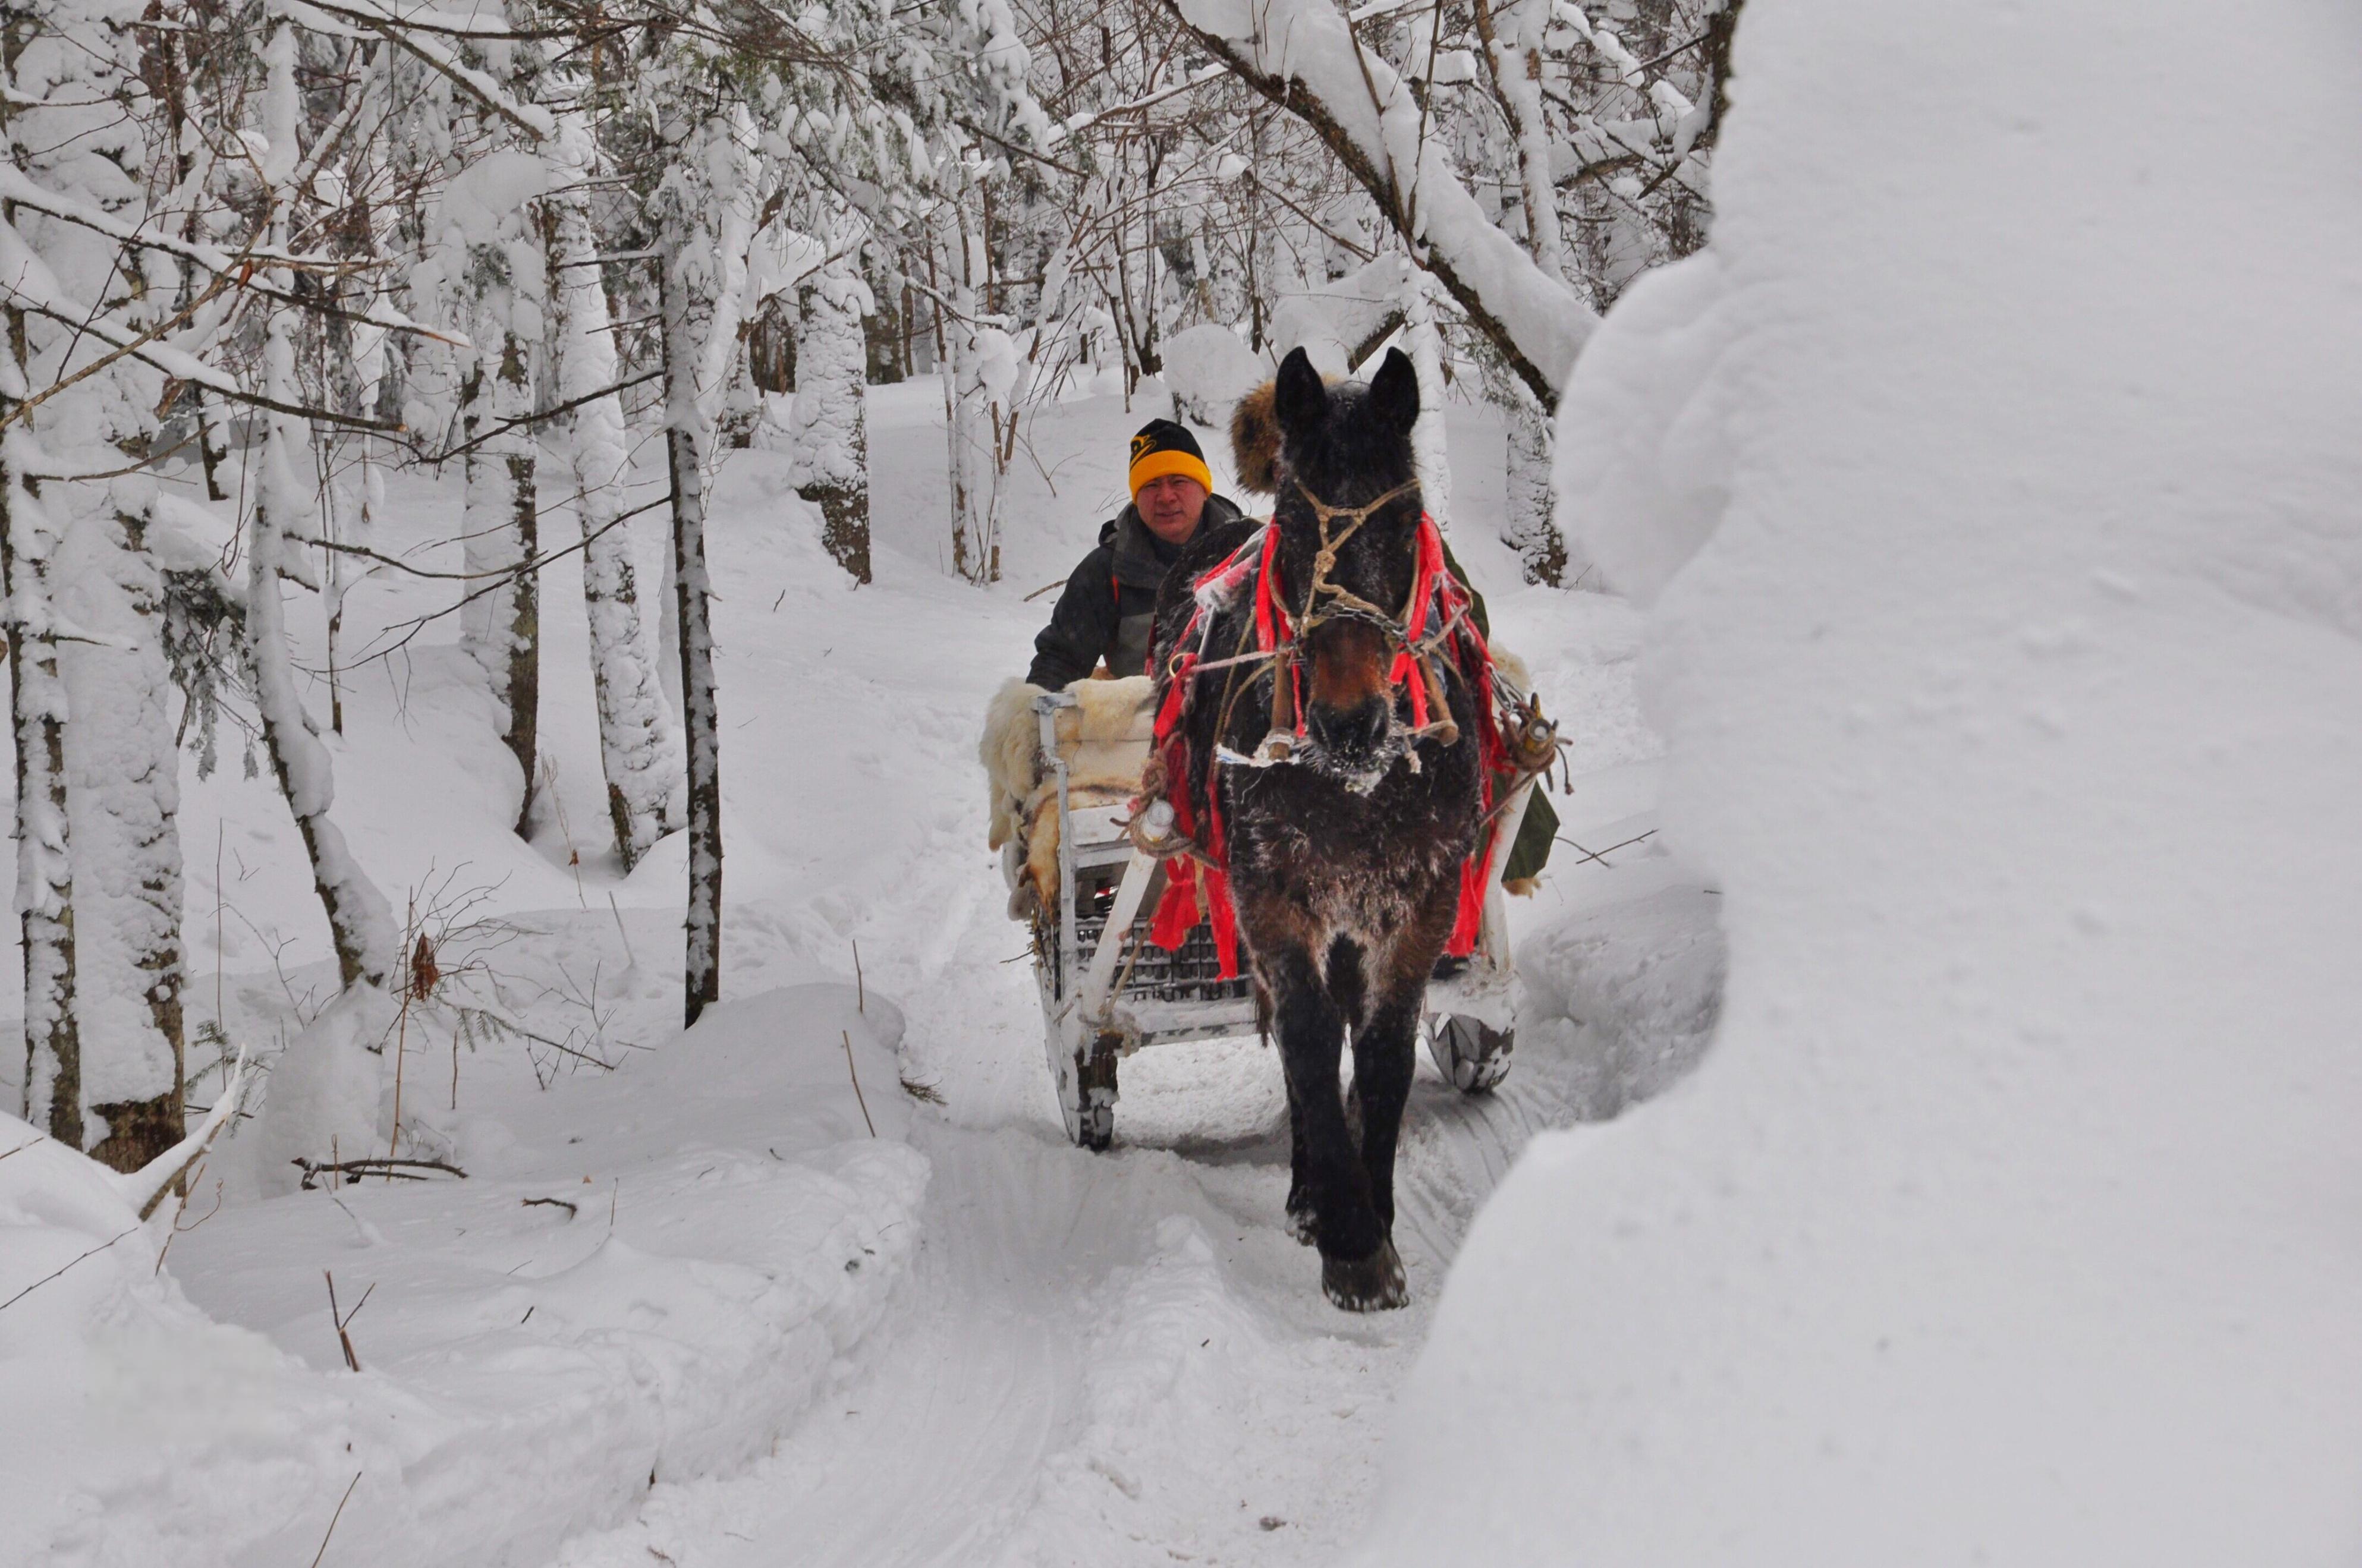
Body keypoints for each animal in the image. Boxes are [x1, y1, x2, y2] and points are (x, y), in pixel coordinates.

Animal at [1143, 347, 1492, 1312]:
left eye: (1406, 518)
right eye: (1295, 521)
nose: (1349, 721)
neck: (1357, 786)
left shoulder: (1418, 902)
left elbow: (1381, 1051)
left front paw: (1375, 1208)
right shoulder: (1271, 898)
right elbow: (1306, 1037)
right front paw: (1348, 1236)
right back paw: (1309, 1188)